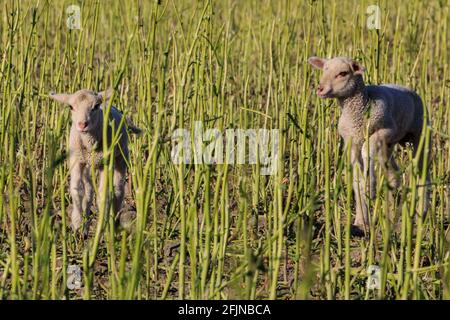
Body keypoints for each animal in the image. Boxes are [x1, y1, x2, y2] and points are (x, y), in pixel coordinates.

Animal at [310, 56, 428, 235]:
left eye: (343, 73)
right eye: (324, 70)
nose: (320, 89)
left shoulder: (385, 130)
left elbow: (367, 150)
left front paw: (370, 188)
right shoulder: (351, 142)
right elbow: (356, 179)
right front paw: (361, 221)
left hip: (419, 133)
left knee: (423, 170)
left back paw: (422, 210)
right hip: (389, 145)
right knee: (394, 174)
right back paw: (391, 214)